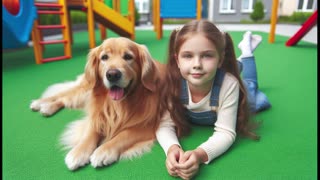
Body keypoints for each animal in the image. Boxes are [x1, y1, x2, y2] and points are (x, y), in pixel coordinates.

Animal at [30, 37, 170, 170]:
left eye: (128, 57)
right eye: (104, 57)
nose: (112, 74)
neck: (119, 105)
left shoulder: (148, 125)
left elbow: (123, 135)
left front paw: (103, 151)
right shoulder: (97, 114)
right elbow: (90, 134)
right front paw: (78, 152)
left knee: (65, 100)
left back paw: (47, 107)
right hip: (84, 89)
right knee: (63, 95)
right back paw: (40, 103)